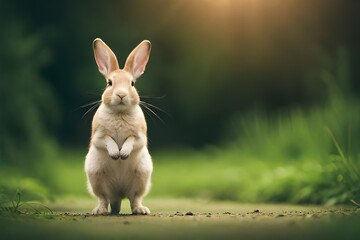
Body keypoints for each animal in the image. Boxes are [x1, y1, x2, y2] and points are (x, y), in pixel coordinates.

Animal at [85, 38, 153, 216]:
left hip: (141, 178)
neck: (120, 112)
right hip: (96, 178)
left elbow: (131, 141)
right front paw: (116, 154)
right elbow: (108, 140)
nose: (121, 94)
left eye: (132, 83)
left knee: (135, 198)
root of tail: (118, 195)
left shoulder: (140, 137)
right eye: (109, 83)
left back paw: (141, 210)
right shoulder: (98, 136)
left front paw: (123, 154)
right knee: (103, 198)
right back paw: (99, 211)